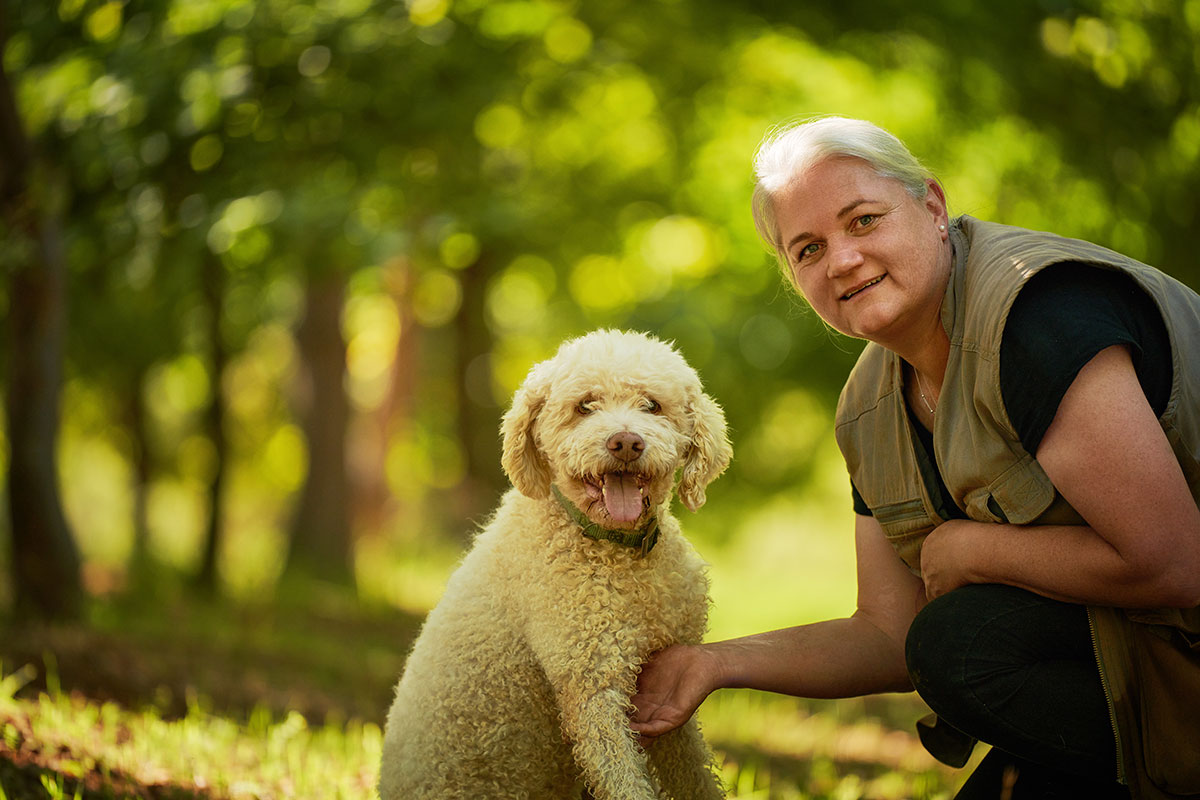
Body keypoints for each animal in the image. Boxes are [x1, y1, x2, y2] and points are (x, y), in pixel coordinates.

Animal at [379, 328, 729, 796]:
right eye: (585, 405)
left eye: (652, 405)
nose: (626, 442)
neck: (615, 550)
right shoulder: (592, 688)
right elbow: (624, 780)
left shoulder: (671, 691)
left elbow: (697, 776)